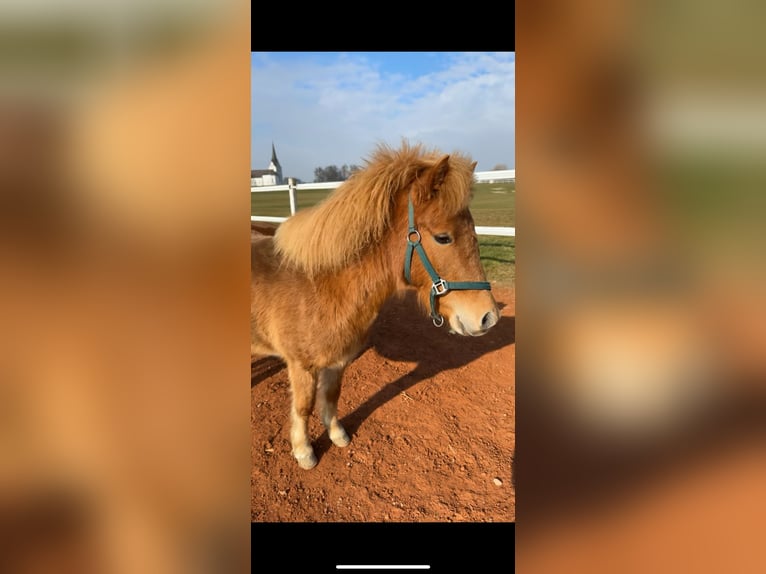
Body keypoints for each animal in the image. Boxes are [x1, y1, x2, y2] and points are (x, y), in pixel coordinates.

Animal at [251, 142, 499, 469]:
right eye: (443, 237)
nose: (488, 317)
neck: (319, 285)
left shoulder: (337, 361)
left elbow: (331, 396)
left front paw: (337, 435)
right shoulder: (301, 366)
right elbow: (304, 407)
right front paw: (304, 452)